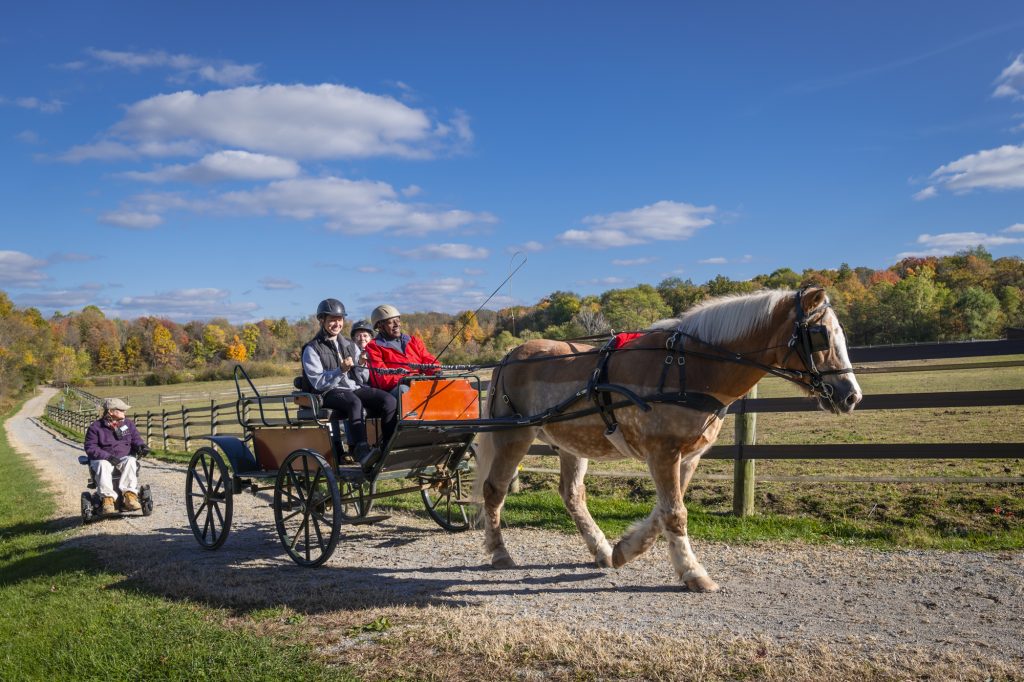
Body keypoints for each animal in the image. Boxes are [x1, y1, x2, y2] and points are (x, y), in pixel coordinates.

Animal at [475, 284, 860, 589]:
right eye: (821, 335)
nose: (851, 396)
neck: (691, 367)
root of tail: (509, 356)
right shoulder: (662, 453)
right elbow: (675, 513)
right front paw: (693, 573)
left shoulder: (687, 457)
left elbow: (664, 511)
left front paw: (624, 550)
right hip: (514, 436)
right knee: (494, 490)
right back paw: (499, 552)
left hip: (571, 443)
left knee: (572, 495)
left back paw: (600, 549)